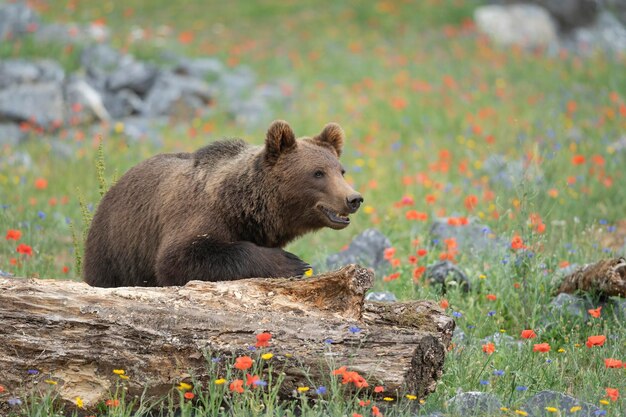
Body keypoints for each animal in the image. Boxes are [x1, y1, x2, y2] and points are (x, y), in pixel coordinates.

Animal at [85, 121, 364, 286]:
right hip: (116, 250)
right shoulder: (197, 215)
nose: (354, 199)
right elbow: (178, 259)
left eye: (341, 171)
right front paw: (293, 263)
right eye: (318, 173)